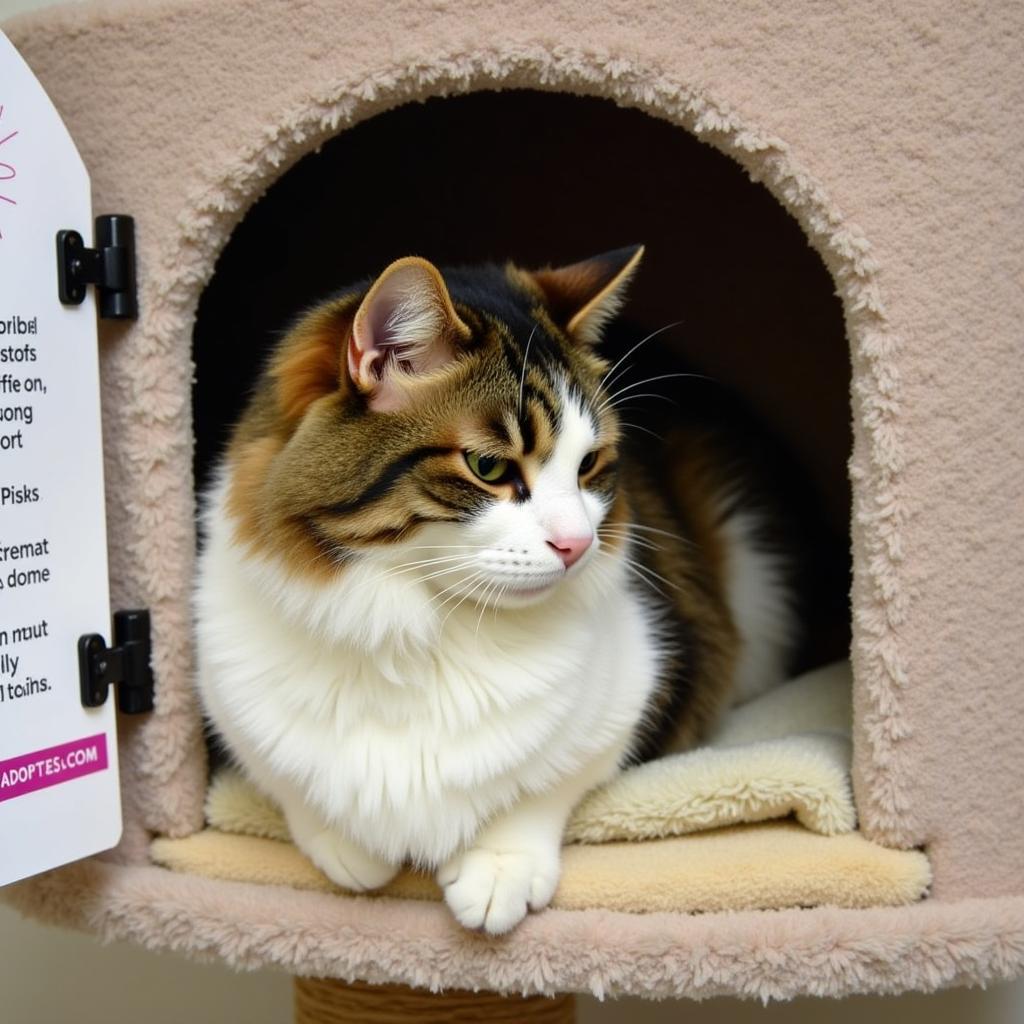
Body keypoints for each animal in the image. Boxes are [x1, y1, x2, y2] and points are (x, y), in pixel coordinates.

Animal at [193, 243, 839, 933]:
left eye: (588, 465)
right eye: (490, 467)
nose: (578, 544)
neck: (425, 629)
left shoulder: (645, 679)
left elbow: (547, 779)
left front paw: (499, 865)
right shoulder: (228, 698)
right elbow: (287, 780)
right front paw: (348, 846)